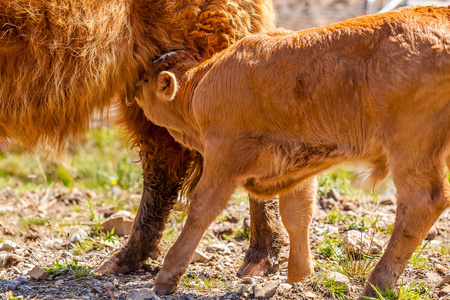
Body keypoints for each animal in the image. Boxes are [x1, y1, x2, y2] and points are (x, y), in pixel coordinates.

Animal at [134, 5, 450, 296]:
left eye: (147, 79)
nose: (134, 87)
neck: (202, 86)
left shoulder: (223, 153)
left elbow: (202, 207)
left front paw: (167, 276)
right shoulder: (298, 165)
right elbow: (297, 214)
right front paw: (299, 276)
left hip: (411, 146)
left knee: (421, 203)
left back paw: (377, 284)